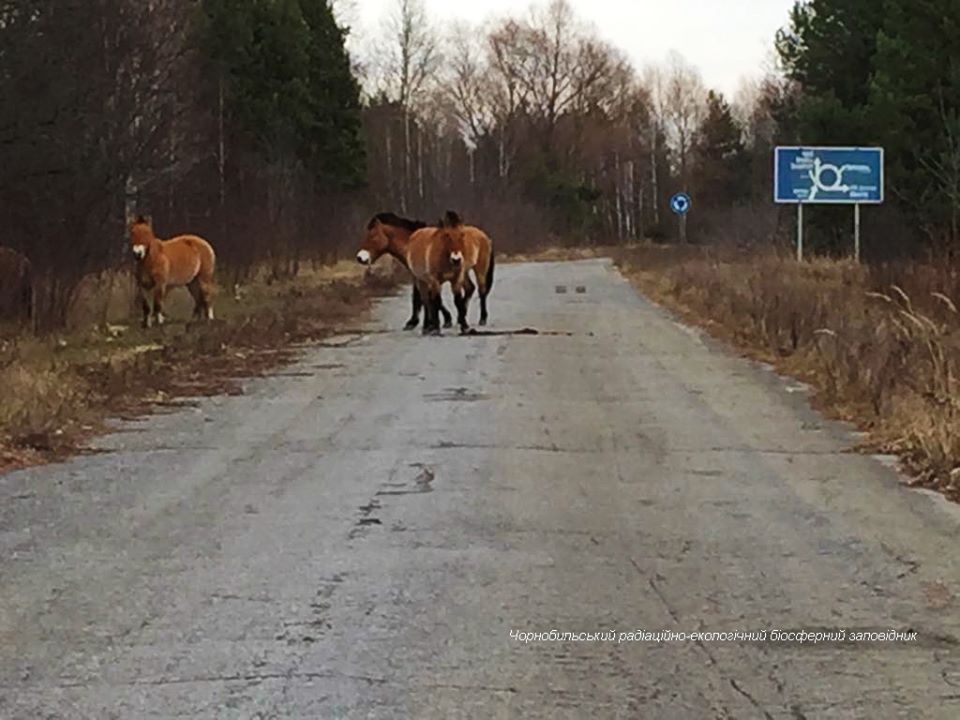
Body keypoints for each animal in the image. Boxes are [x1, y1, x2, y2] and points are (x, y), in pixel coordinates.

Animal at [358, 211, 498, 330]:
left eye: (372, 236)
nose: (360, 258)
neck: (410, 242)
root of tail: (484, 236)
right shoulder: (421, 277)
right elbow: (426, 297)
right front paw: (437, 321)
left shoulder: (422, 277)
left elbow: (421, 298)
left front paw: (418, 322)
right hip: (463, 272)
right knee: (470, 288)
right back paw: (461, 316)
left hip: (480, 269)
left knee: (481, 290)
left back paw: (482, 319)